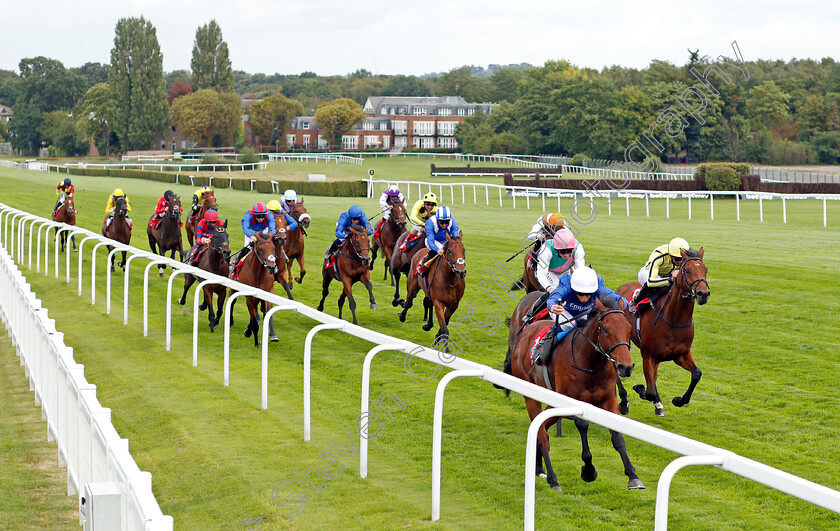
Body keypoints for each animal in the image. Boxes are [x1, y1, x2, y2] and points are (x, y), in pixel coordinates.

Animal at [506, 296, 644, 490]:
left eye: (628, 329)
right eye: (606, 330)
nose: (626, 366)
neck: (590, 363)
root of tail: (524, 334)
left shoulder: (608, 400)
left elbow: (618, 437)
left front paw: (633, 476)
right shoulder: (571, 401)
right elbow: (583, 425)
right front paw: (588, 470)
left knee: (542, 428)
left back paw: (539, 467)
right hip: (531, 394)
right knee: (542, 434)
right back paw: (553, 479)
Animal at [612, 247, 712, 418]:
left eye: (705, 270)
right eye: (687, 270)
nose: (703, 294)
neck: (674, 320)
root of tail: (621, 287)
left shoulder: (681, 354)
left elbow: (696, 374)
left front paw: (678, 400)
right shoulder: (648, 356)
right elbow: (650, 391)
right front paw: (641, 390)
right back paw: (624, 402)